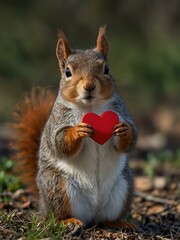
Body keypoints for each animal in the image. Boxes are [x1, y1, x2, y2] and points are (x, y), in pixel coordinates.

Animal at [11, 26, 138, 229]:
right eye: (68, 72)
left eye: (106, 69)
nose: (89, 86)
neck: (91, 107)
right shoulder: (58, 121)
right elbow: (59, 142)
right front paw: (78, 131)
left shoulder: (121, 112)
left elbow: (131, 140)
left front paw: (124, 131)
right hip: (58, 187)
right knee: (57, 215)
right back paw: (69, 220)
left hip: (123, 186)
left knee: (107, 218)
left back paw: (120, 222)